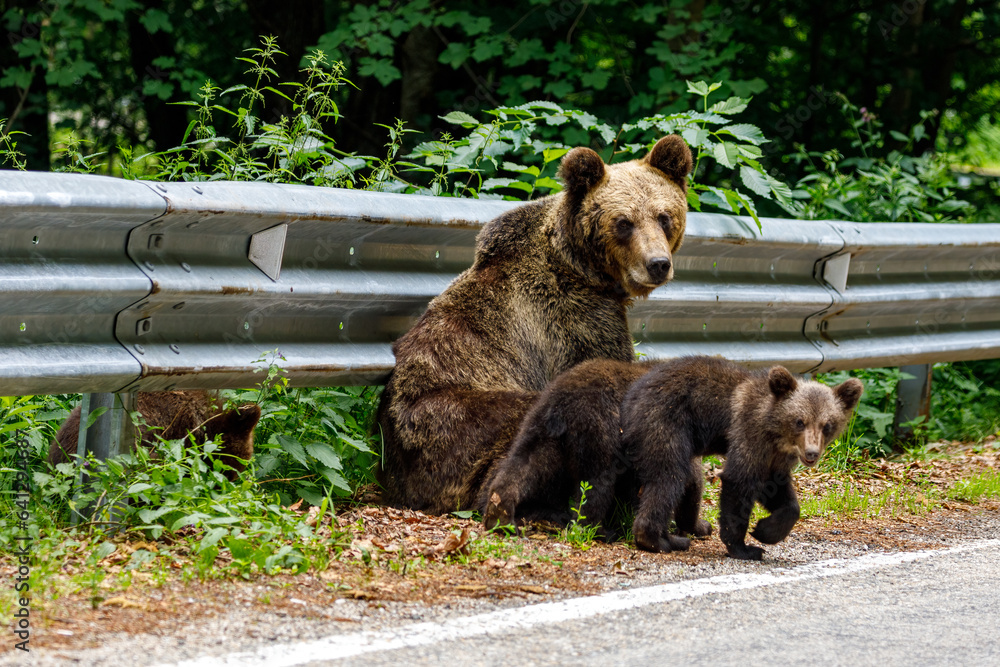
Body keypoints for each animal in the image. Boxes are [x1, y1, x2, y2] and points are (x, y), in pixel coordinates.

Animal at [376, 135, 694, 514]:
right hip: (452, 419)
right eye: (623, 222)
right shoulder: (575, 320)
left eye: (664, 216)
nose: (657, 264)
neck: (586, 268)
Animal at [622, 356, 863, 560]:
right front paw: (744, 547)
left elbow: (779, 492)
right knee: (669, 478)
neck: (775, 432)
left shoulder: (776, 458)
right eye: (799, 421)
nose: (811, 453)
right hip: (667, 422)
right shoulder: (749, 433)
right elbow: (739, 481)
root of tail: (633, 396)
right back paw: (658, 540)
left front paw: (765, 529)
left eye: (827, 425)